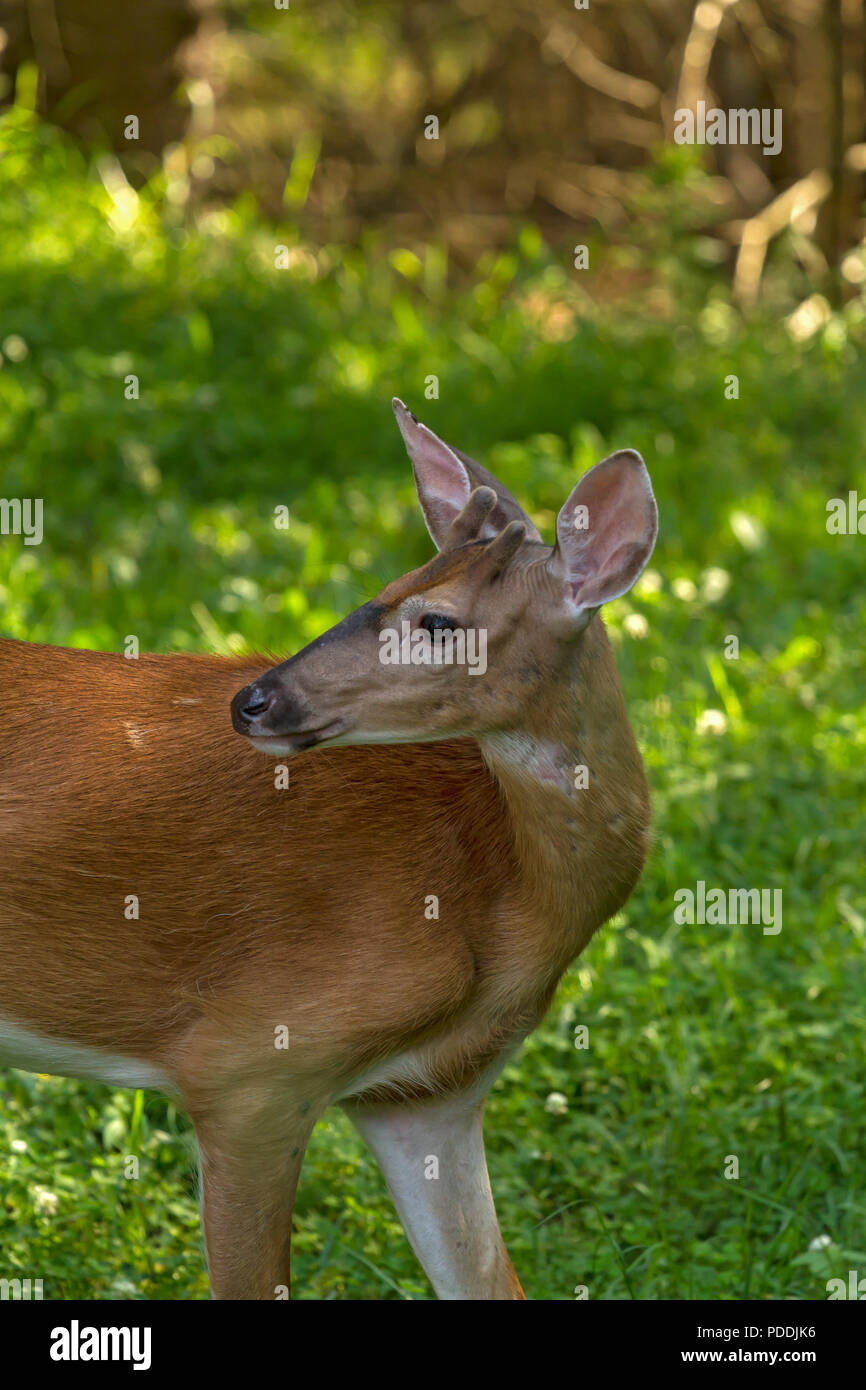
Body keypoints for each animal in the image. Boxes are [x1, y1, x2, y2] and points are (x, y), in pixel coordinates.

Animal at [0, 403, 656, 1301]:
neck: (501, 902)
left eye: (436, 621)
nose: (253, 701)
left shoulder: (427, 1092)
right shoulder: (245, 1064)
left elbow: (488, 1281)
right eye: (378, 592)